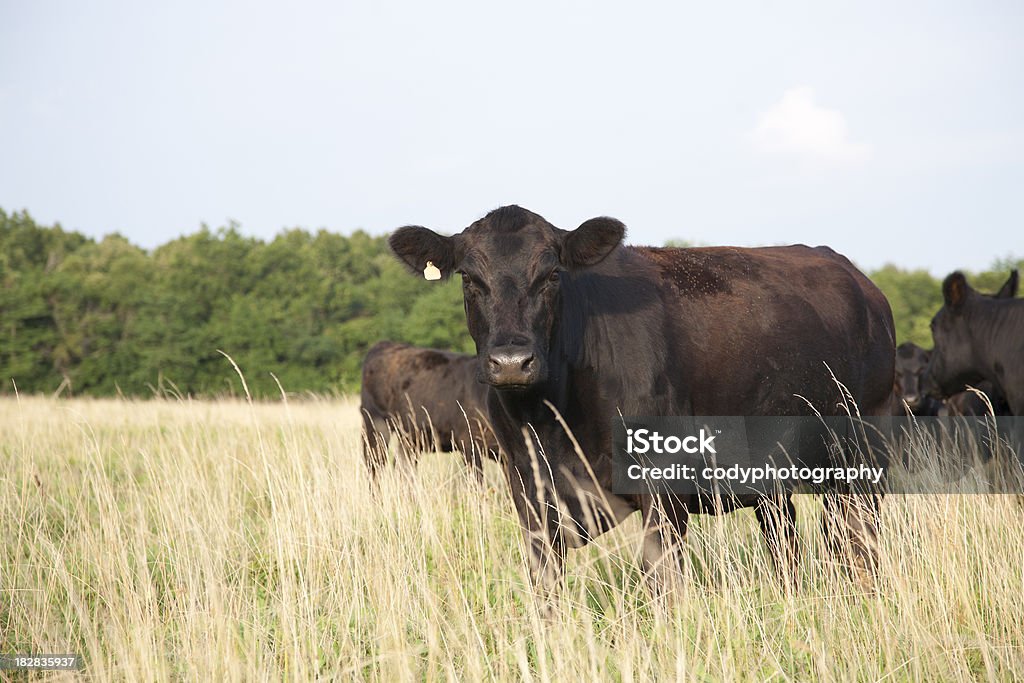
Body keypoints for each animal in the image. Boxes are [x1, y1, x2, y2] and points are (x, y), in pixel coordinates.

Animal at [362, 339, 501, 479]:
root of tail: (385, 343)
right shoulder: (468, 442)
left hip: (411, 437)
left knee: (403, 466)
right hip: (375, 424)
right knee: (375, 464)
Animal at [387, 205, 892, 593]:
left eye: (551, 275)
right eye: (470, 279)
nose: (512, 361)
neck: (552, 418)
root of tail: (858, 278)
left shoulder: (663, 484)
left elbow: (663, 582)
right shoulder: (527, 485)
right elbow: (545, 583)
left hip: (861, 454)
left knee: (856, 541)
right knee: (786, 543)